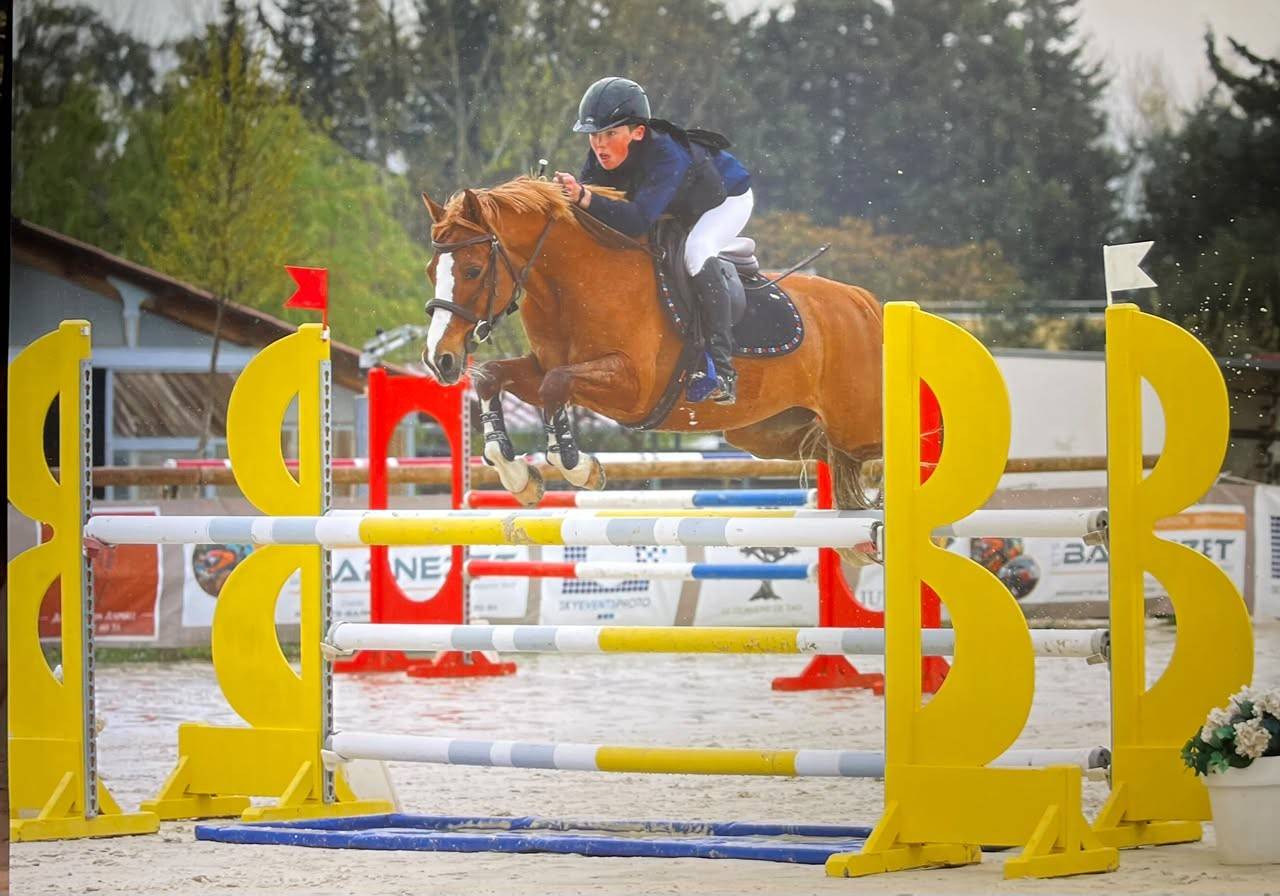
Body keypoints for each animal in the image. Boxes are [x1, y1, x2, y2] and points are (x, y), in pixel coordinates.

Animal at [419, 177, 884, 550]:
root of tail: (865, 303)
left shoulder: (633, 388)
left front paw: (579, 468)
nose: (440, 359)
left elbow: (556, 384)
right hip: (771, 433)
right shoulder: (541, 368)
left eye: (473, 270)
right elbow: (492, 376)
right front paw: (518, 475)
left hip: (857, 424)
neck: (574, 283)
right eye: (430, 271)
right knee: (835, 455)